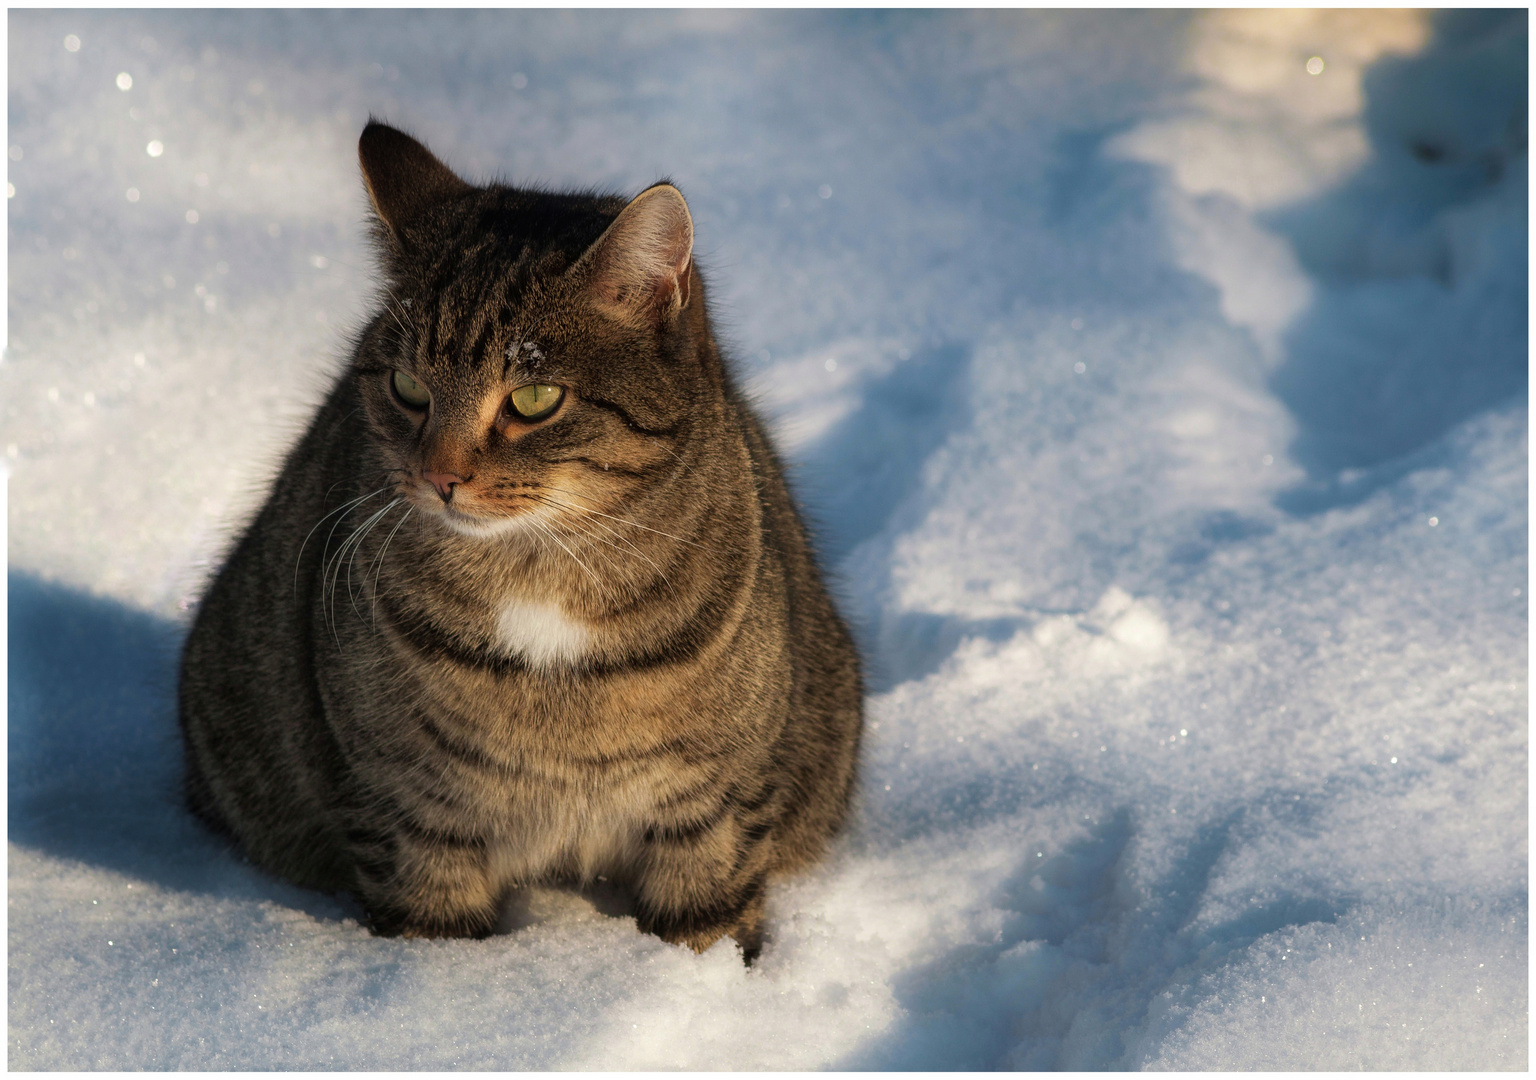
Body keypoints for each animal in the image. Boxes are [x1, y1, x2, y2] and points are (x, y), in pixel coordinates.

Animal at [179, 120, 866, 964]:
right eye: (408, 388)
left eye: (534, 398)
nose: (439, 475)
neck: (540, 577)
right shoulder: (406, 814)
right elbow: (431, 929)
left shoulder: (717, 808)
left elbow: (707, 924)